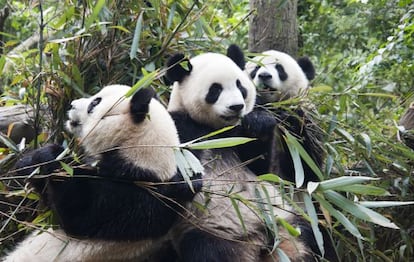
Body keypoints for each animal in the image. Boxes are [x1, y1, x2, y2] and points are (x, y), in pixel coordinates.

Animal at [2, 85, 203, 260]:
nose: (71, 104)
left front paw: (53, 156)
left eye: (94, 103)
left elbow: (77, 216)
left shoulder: (135, 195)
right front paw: (29, 163)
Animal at [239, 48, 326, 184]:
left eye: (279, 68)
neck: (273, 105)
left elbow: (308, 170)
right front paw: (259, 122)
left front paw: (288, 119)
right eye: (256, 68)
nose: (264, 75)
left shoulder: (309, 120)